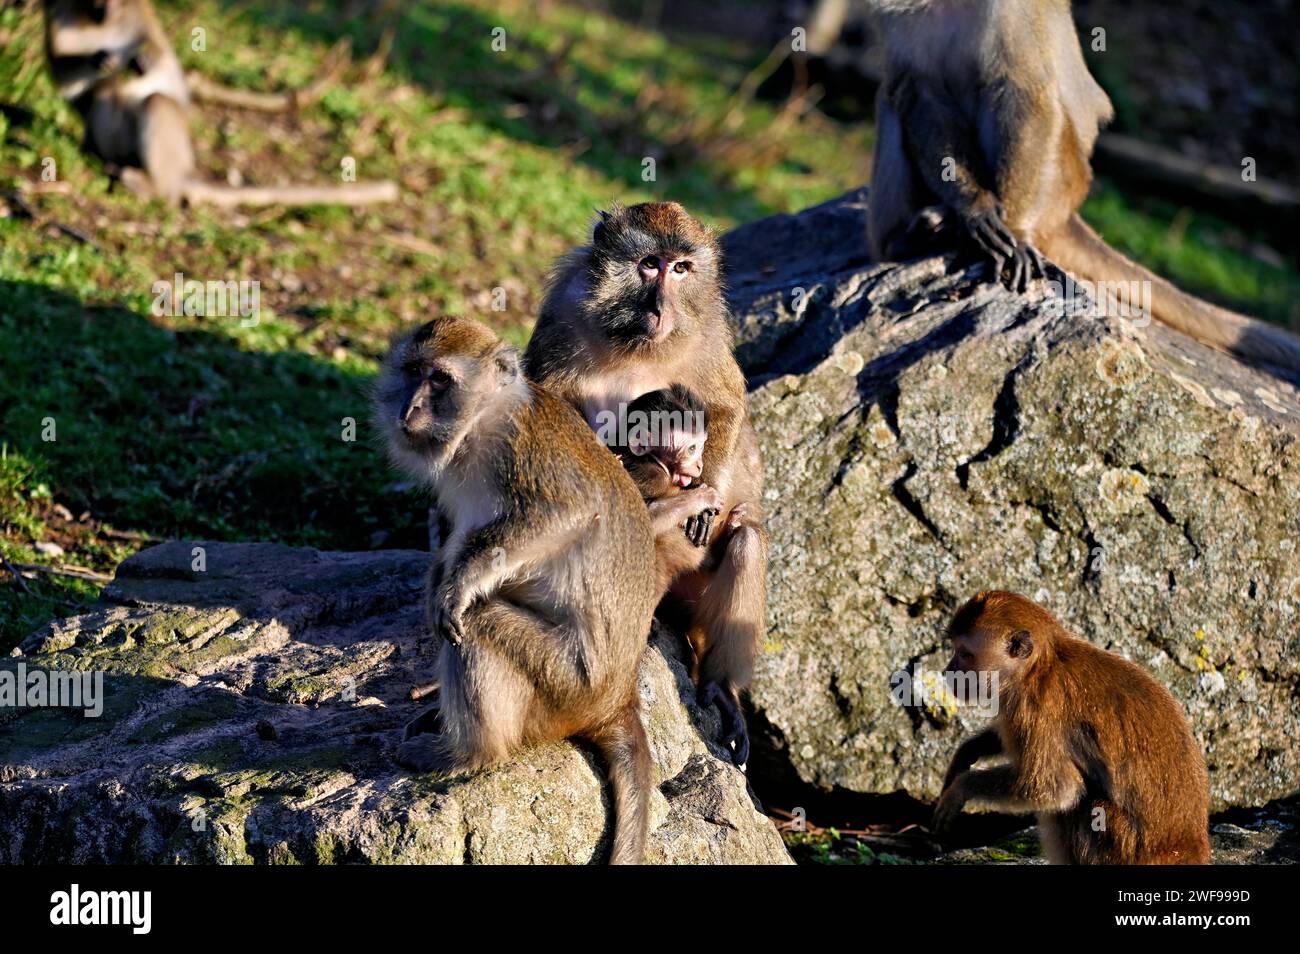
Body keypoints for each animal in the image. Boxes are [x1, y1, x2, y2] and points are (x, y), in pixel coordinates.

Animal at [44, 0, 395, 209]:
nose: (104, 8)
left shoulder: (138, 19)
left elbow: (162, 65)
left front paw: (139, 60)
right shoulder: (59, 13)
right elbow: (63, 73)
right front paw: (102, 59)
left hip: (175, 159)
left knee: (158, 103)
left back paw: (153, 188)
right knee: (103, 91)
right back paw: (101, 158)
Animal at [377, 317, 660, 868]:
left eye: (439, 380)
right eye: (413, 373)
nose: (409, 408)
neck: (480, 422)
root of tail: (617, 696)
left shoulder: (519, 447)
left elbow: (567, 511)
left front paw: (458, 586)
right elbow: (458, 536)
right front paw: (438, 580)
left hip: (566, 686)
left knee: (478, 624)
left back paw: (469, 754)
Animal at [527, 204, 764, 769]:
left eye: (680, 269)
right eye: (648, 265)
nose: (660, 309)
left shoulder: (707, 336)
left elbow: (727, 406)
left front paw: (707, 503)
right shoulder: (561, 316)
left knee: (745, 539)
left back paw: (723, 687)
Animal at [863, 1, 1300, 374]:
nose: (1011, 223)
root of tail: (1067, 210)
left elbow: (1024, 89)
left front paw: (1013, 232)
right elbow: (922, 92)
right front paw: (974, 210)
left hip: (1064, 173)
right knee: (894, 95)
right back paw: (909, 237)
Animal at [935, 590, 1206, 868]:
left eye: (964, 653)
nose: (948, 671)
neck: (1038, 667)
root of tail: (1189, 847)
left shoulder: (1036, 708)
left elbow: (1056, 787)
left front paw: (960, 788)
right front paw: (968, 751)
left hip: (1127, 848)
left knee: (1082, 806)